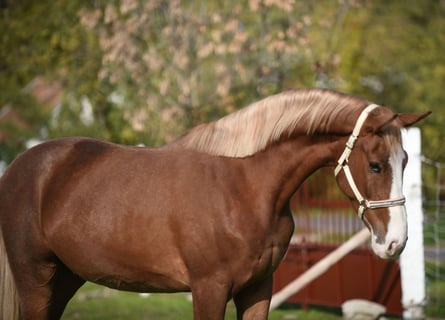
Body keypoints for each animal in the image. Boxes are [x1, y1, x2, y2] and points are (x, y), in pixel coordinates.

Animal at [0, 89, 430, 318]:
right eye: (375, 165)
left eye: (406, 161)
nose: (395, 242)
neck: (245, 187)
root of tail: (19, 167)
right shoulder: (209, 289)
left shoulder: (258, 288)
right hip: (36, 279)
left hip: (64, 278)